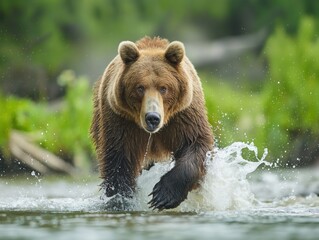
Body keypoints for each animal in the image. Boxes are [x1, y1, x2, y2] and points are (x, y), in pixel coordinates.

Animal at [90, 36, 215, 210]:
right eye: (139, 88)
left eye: (164, 88)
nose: (152, 117)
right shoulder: (121, 120)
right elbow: (119, 159)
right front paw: (120, 198)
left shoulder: (183, 116)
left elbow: (195, 143)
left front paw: (163, 195)